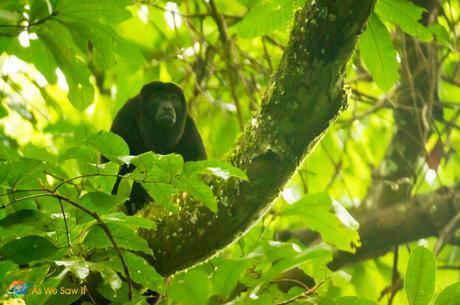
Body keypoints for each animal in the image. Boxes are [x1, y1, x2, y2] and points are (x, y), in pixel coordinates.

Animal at [109, 81, 205, 214]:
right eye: (158, 97)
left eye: (174, 99)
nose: (168, 108)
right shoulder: (125, 115)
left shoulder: (189, 125)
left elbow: (198, 161)